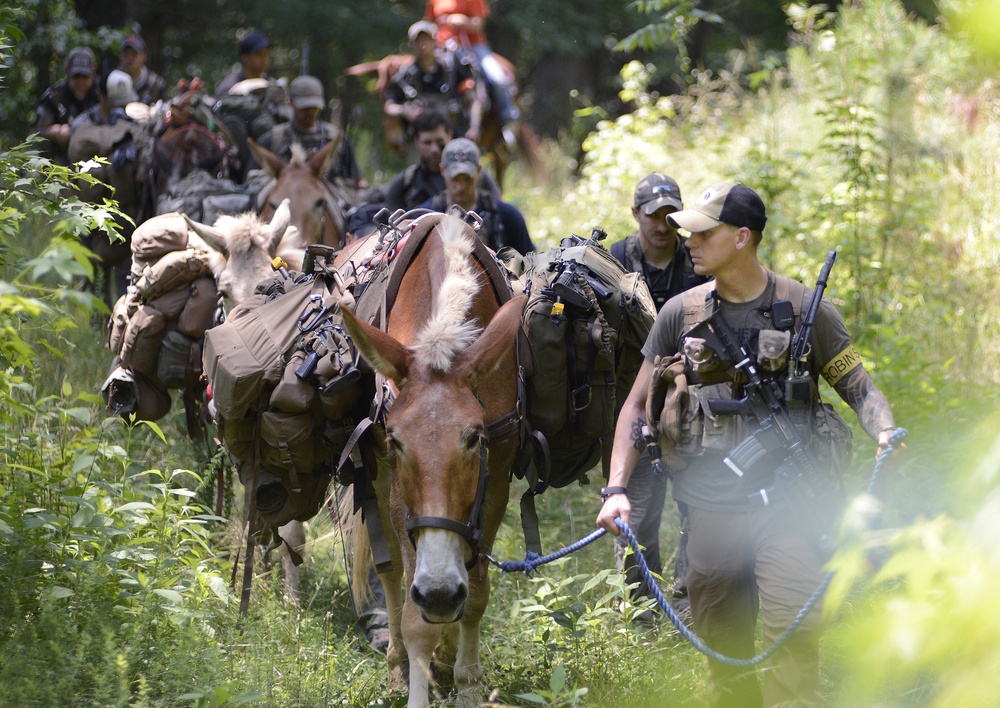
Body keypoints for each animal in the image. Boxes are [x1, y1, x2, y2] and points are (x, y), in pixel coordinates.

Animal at [338, 213, 524, 704]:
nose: (439, 593)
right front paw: (418, 681)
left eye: (475, 438)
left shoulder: (496, 481)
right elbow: (413, 615)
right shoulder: (397, 485)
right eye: (397, 441)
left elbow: (475, 596)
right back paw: (401, 664)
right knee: (390, 572)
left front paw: (466, 683)